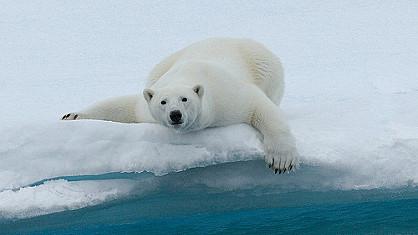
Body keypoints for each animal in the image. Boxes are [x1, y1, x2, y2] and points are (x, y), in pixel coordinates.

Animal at [61, 37, 298, 173]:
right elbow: (126, 107)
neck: (189, 74)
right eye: (163, 102)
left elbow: (260, 108)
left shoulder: (228, 97)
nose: (175, 115)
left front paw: (281, 161)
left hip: (266, 68)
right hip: (161, 64)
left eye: (185, 99)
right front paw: (71, 116)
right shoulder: (148, 105)